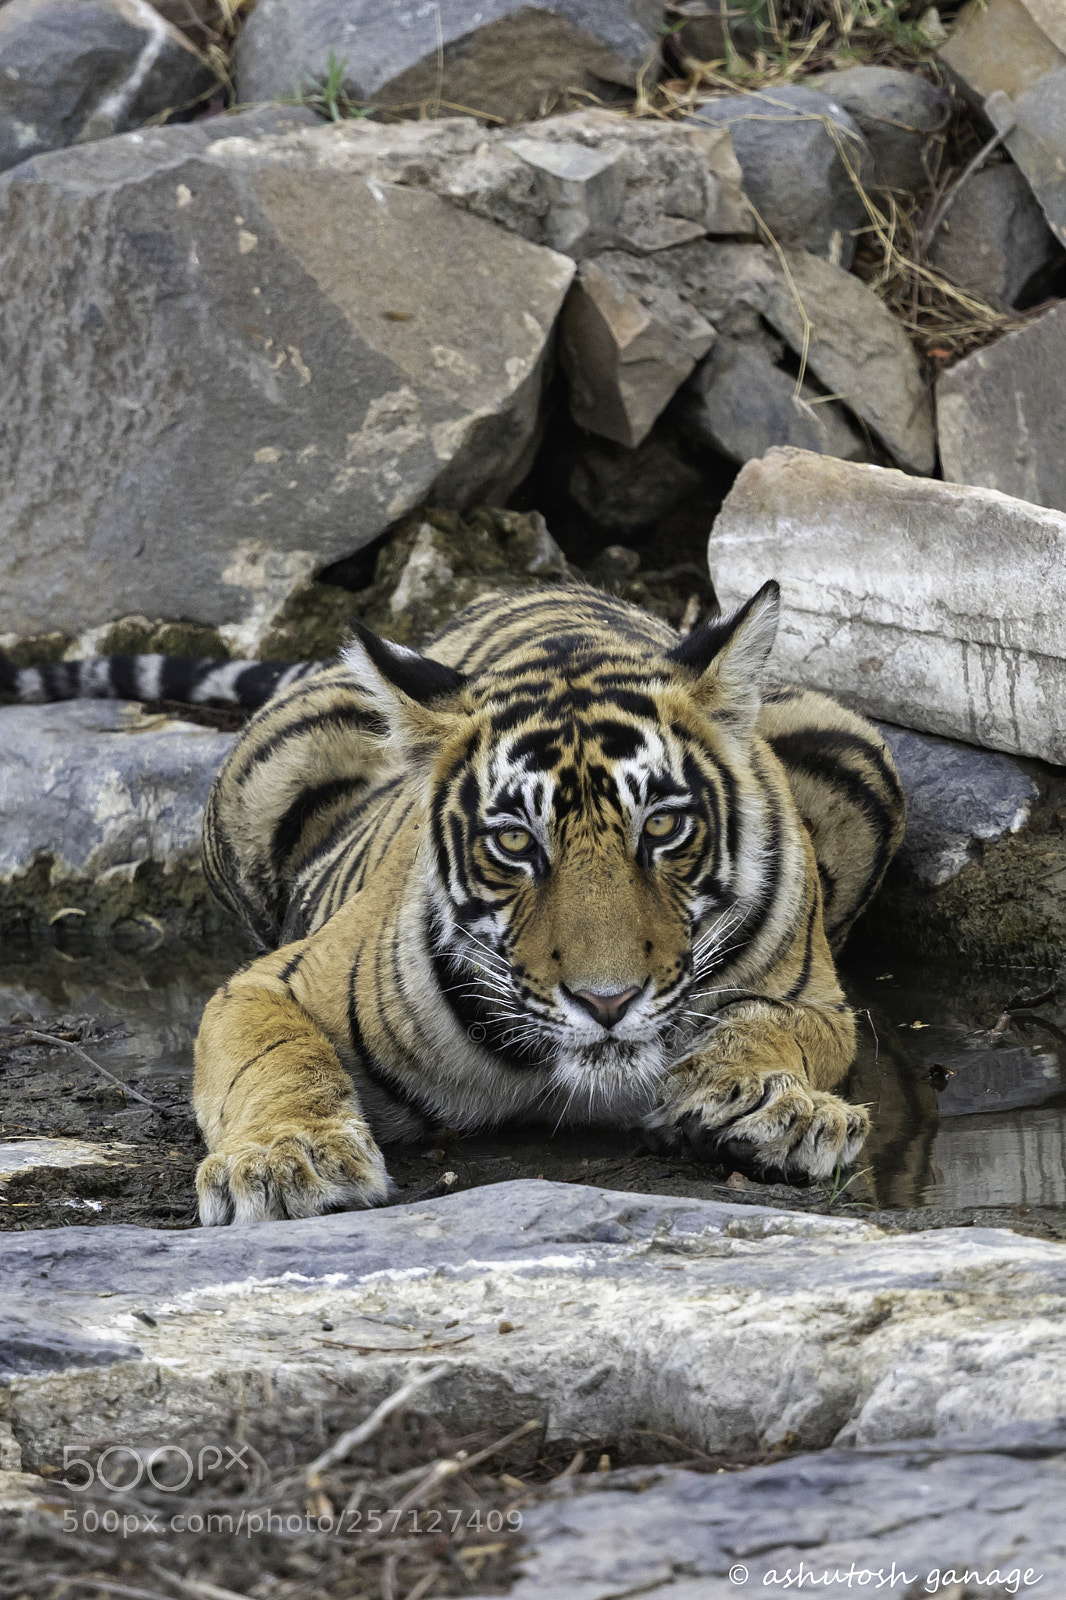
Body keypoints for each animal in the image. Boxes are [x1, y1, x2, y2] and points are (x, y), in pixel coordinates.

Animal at [1, 582, 905, 1224]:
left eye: (663, 825)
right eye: (514, 843)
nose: (607, 1002)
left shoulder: (817, 999)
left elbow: (764, 1025)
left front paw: (775, 1107)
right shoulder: (268, 982)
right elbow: (279, 1062)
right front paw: (289, 1159)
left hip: (852, 739)